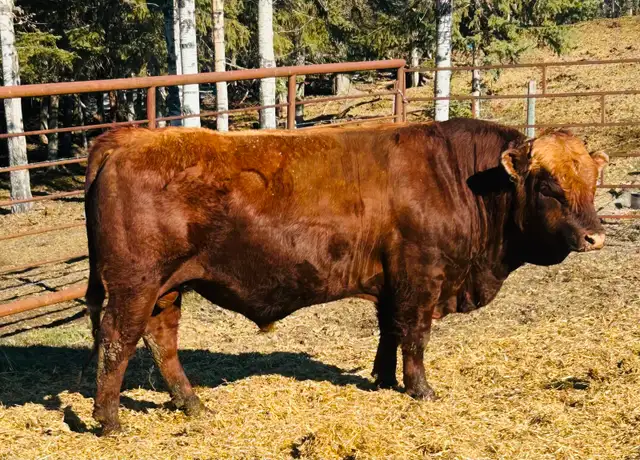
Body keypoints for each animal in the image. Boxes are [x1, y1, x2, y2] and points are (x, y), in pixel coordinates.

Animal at [84, 118, 608, 434]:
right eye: (549, 186)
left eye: (592, 181)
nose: (595, 236)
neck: (456, 178)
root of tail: (128, 138)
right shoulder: (421, 277)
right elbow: (415, 336)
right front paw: (420, 389)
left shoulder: (392, 284)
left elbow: (389, 333)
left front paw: (382, 378)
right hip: (135, 284)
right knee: (117, 340)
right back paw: (109, 421)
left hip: (166, 289)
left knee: (160, 340)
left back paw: (191, 404)